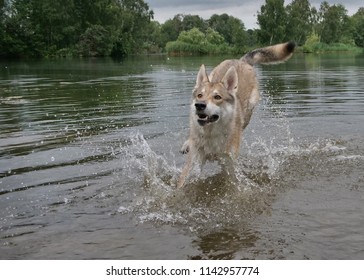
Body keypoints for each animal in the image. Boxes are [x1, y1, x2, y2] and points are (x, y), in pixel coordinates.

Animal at [178, 41, 296, 188]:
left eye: (217, 97)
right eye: (200, 95)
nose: (199, 105)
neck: (211, 135)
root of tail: (240, 61)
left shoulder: (228, 163)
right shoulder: (194, 161)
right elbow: (181, 183)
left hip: (249, 111)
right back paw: (186, 144)